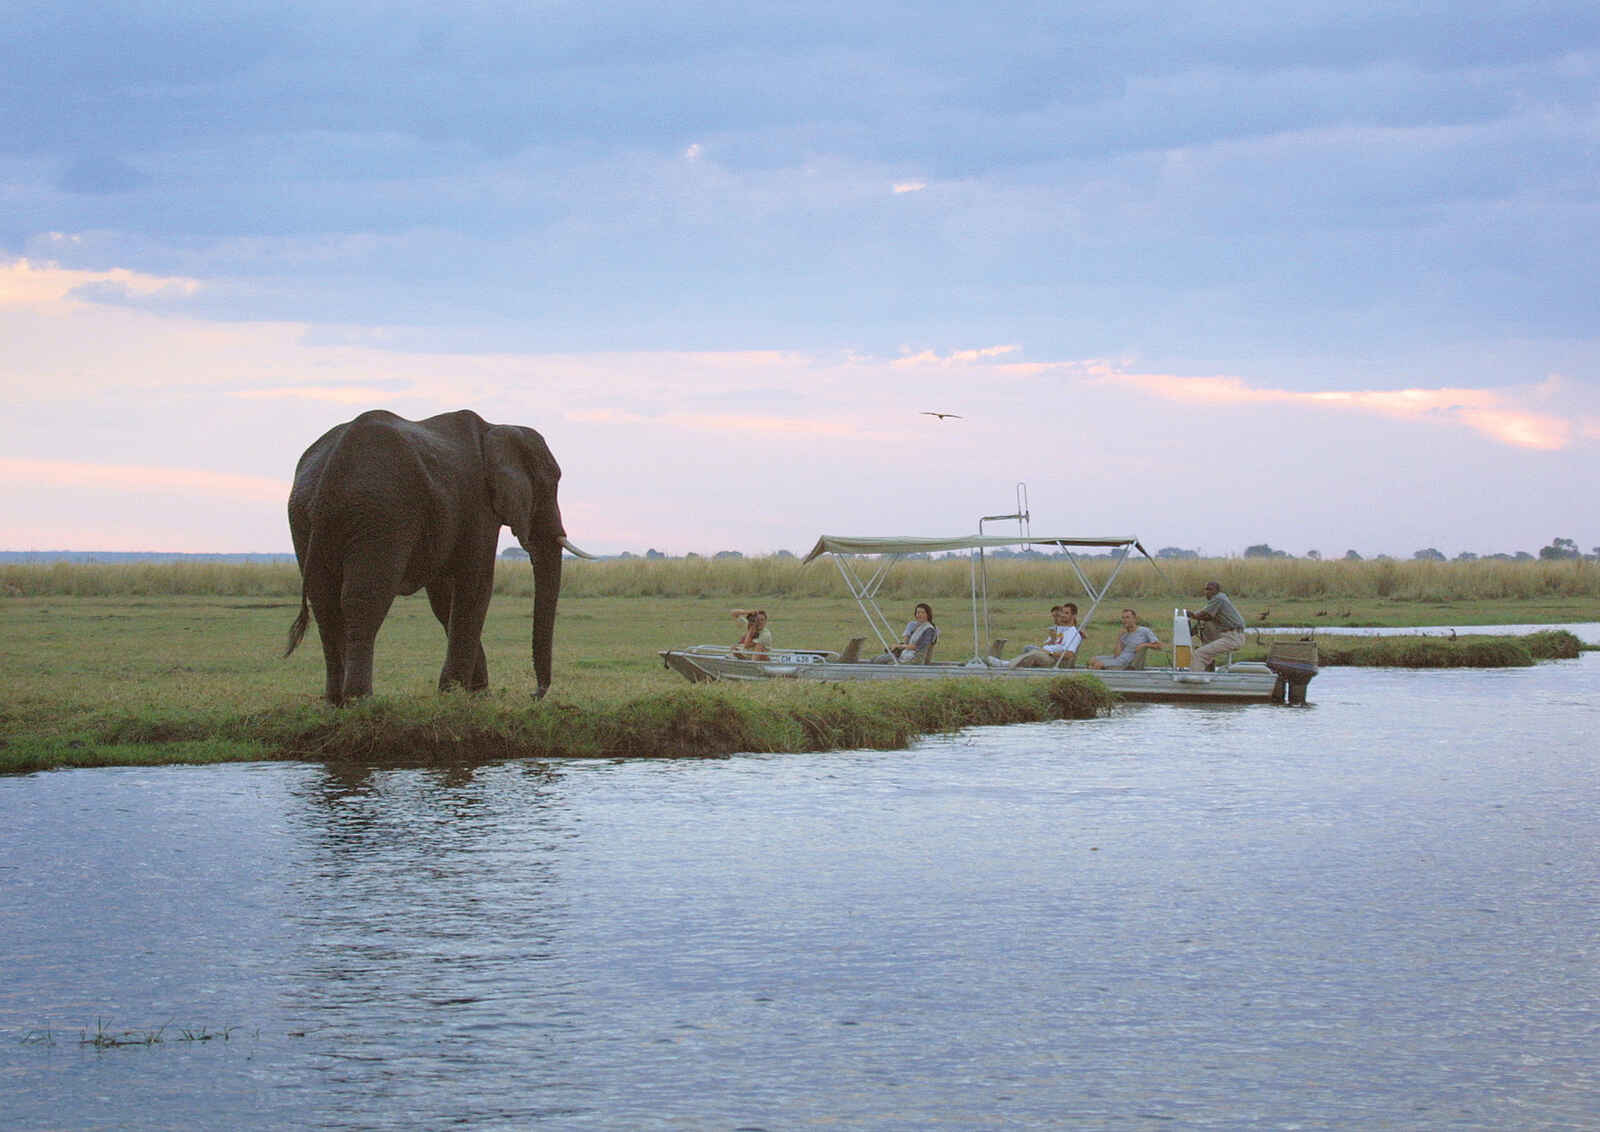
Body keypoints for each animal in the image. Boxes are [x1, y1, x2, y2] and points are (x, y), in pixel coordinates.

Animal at [285, 408, 589, 704]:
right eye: (549, 485)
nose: (534, 694)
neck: (497, 427)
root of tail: (331, 469)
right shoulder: (477, 505)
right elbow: (476, 584)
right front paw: (456, 695)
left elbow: (444, 597)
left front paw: (474, 694)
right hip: (381, 513)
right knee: (365, 597)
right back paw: (360, 700)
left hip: (304, 517)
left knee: (324, 603)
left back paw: (334, 701)